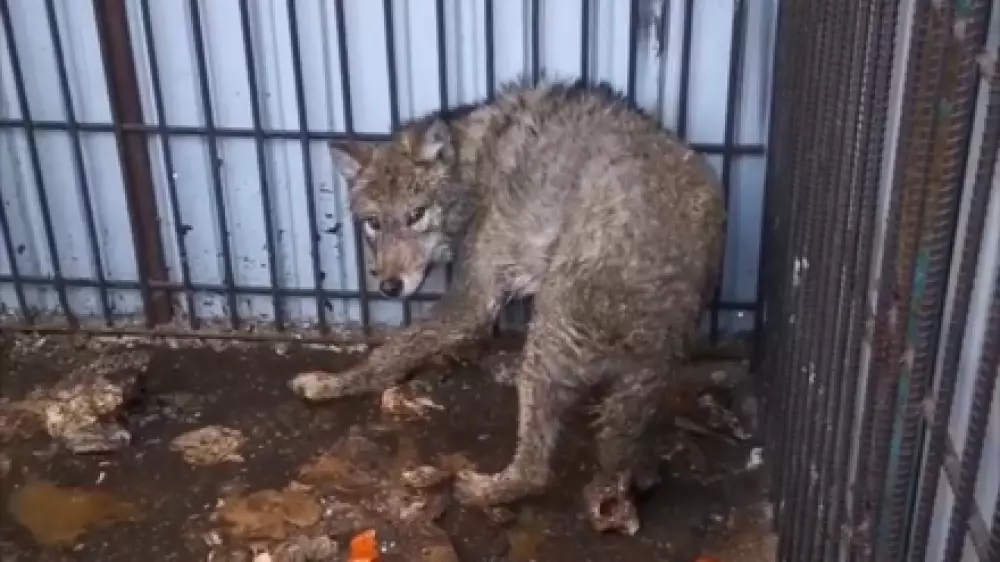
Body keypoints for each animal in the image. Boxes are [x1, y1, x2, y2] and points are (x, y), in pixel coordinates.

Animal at [289, 78, 726, 535]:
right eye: (374, 223)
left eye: (416, 215)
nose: (389, 287)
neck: (473, 168)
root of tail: (663, 326)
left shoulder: (472, 301)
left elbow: (393, 350)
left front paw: (334, 382)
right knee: (634, 462)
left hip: (548, 334)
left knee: (534, 470)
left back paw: (482, 489)